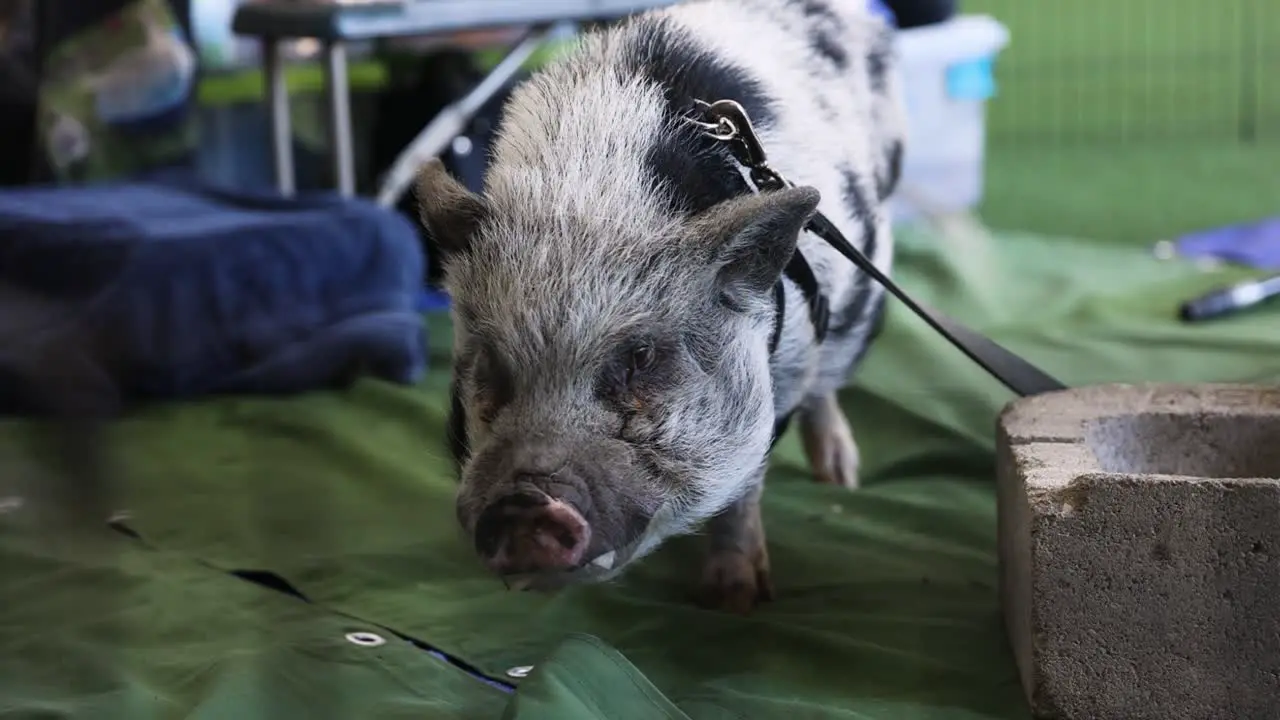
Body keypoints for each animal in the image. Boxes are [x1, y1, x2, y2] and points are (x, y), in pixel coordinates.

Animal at [414, 0, 906, 609]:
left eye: (642, 356)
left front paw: (734, 599)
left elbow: (746, 485)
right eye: (488, 363)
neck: (592, 198)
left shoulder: (784, 367)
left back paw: (841, 479)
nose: (522, 502)